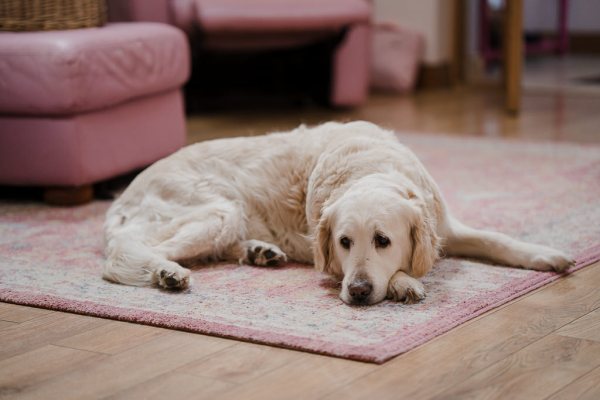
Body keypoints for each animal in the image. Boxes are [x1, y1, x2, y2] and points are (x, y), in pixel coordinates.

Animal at [102, 120, 572, 304]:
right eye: (345, 242)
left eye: (383, 240)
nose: (359, 291)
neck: (367, 167)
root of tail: (126, 192)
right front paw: (404, 284)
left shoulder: (445, 226)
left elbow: (497, 240)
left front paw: (547, 255)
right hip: (216, 211)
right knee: (121, 253)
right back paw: (167, 273)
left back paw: (259, 251)